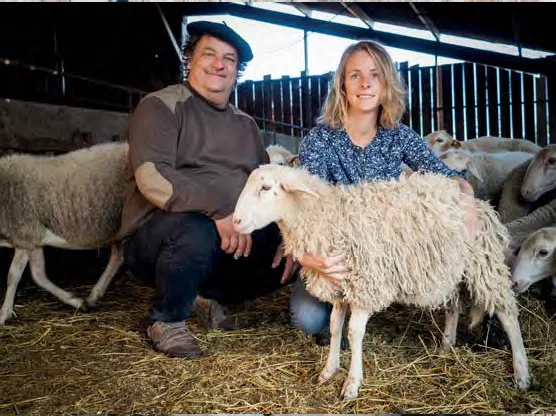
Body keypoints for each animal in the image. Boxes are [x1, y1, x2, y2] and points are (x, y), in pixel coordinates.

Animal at [0, 143, 130, 324]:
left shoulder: (25, 234)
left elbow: (15, 275)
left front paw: (3, 313)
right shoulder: (33, 240)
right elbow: (37, 274)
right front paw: (76, 301)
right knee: (118, 257)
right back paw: (94, 295)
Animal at [232, 165, 528, 400]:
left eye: (266, 187)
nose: (235, 222)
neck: (328, 217)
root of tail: (482, 205)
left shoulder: (366, 284)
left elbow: (354, 333)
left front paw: (352, 383)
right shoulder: (341, 288)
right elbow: (335, 327)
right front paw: (329, 370)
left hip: (484, 264)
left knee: (508, 313)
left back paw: (521, 372)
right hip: (450, 269)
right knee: (453, 305)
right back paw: (446, 346)